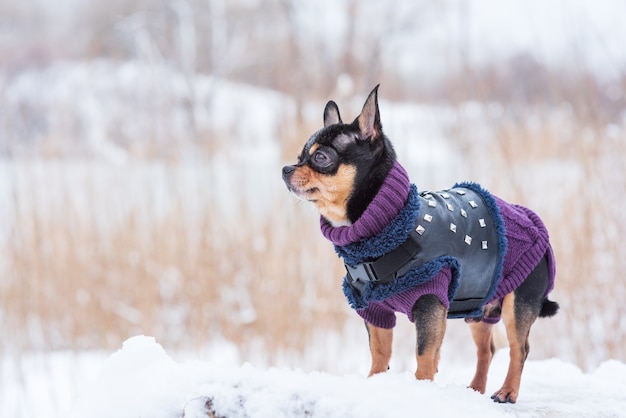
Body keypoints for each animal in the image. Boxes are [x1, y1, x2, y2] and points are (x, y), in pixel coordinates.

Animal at [280, 86, 560, 404]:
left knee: (519, 349)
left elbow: (425, 354)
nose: (286, 168)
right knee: (486, 349)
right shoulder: (375, 309)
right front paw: (375, 383)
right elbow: (380, 351)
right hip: (479, 303)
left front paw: (422, 389)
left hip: (517, 305)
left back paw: (507, 391)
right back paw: (476, 389)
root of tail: (534, 225)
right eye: (300, 156)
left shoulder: (430, 303)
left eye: (321, 157)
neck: (388, 222)